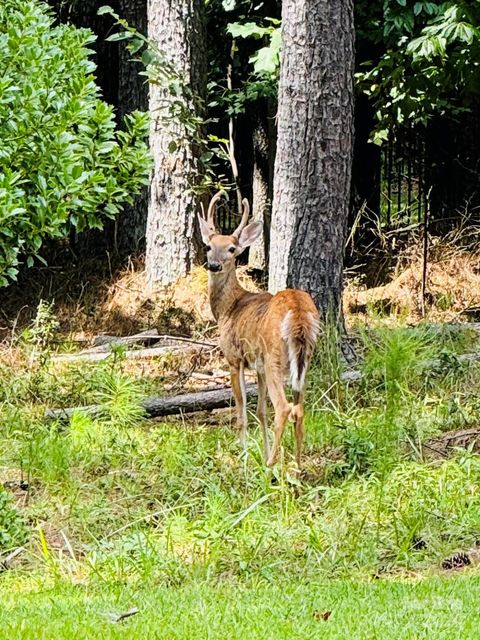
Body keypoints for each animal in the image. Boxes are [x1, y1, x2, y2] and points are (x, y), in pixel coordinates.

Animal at [197, 192, 320, 468]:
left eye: (232, 249)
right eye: (209, 246)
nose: (214, 265)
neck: (229, 307)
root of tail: (298, 313)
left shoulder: (234, 358)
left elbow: (241, 411)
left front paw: (243, 458)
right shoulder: (260, 368)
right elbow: (261, 411)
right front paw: (259, 452)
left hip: (274, 355)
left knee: (284, 407)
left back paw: (271, 466)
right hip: (303, 359)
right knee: (299, 408)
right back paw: (297, 467)